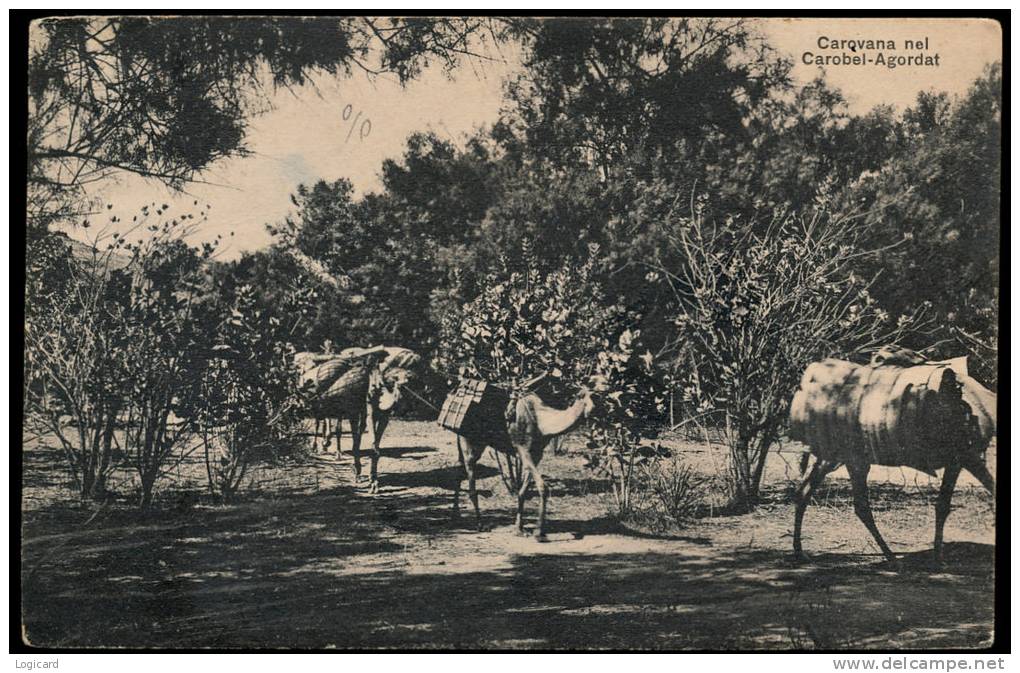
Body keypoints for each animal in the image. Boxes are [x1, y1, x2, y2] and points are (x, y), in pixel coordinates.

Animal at [450, 383, 595, 542]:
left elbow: (523, 491)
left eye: (598, 397)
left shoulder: (537, 454)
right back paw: (480, 524)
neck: (542, 422)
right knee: (470, 477)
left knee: (458, 472)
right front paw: (539, 533)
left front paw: (519, 529)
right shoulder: (523, 449)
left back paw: (456, 515)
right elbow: (542, 486)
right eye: (585, 396)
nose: (595, 410)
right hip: (470, 442)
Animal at [787, 346, 995, 562]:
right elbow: (946, 505)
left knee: (804, 491)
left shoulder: (964, 459)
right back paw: (892, 558)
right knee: (861, 506)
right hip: (854, 459)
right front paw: (938, 558)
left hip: (833, 457)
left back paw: (799, 551)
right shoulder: (963, 457)